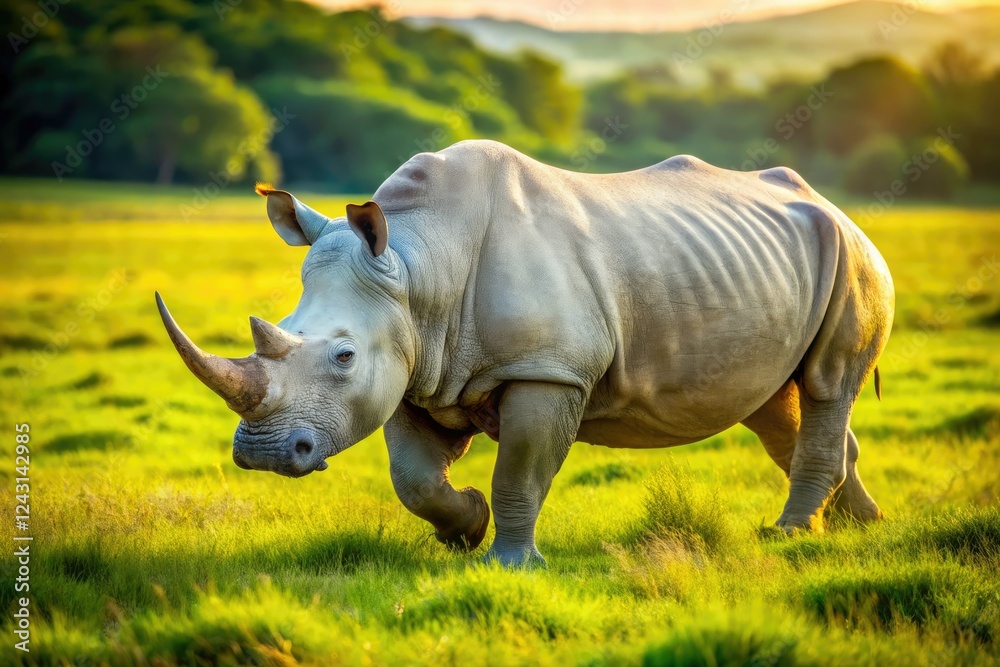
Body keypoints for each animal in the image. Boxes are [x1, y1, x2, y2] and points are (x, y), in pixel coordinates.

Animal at [156, 140, 894, 566]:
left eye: (343, 357)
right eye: (279, 326)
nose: (263, 453)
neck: (418, 263)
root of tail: (833, 205)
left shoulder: (548, 371)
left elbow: (521, 470)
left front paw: (508, 563)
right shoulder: (413, 363)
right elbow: (413, 477)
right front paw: (462, 529)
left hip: (854, 259)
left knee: (825, 384)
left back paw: (791, 537)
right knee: (775, 405)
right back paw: (858, 530)